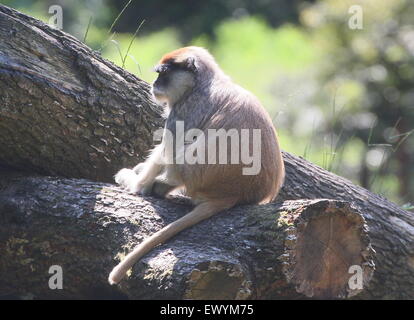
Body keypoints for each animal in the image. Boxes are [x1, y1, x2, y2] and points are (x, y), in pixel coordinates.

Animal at [107, 46, 284, 284]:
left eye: (163, 73)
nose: (155, 84)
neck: (202, 82)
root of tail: (234, 193)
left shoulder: (184, 110)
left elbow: (165, 150)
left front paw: (135, 181)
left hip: (191, 174)